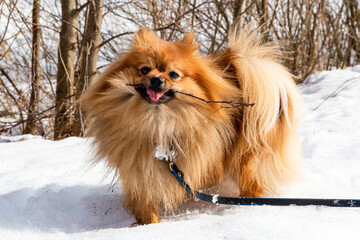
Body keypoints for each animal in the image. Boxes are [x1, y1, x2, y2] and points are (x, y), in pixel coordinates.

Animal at [81, 27, 300, 224]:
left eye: (174, 74)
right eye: (144, 69)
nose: (156, 79)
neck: (157, 122)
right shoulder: (140, 169)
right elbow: (146, 201)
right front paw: (148, 223)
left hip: (246, 157)